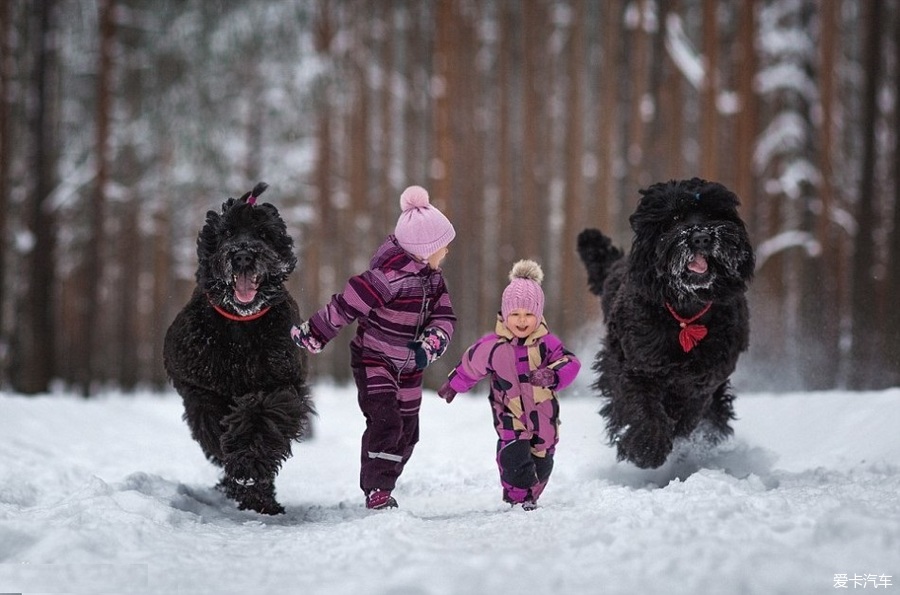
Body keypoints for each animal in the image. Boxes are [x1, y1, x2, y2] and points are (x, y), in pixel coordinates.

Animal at [163, 184, 314, 516]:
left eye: (263, 233)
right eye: (226, 233)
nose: (243, 255)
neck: (239, 326)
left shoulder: (281, 383)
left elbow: (261, 414)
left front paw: (249, 463)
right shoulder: (198, 387)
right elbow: (214, 426)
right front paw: (241, 473)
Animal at [576, 177, 752, 470]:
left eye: (712, 214)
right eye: (674, 218)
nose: (701, 237)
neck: (685, 312)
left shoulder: (707, 376)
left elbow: (692, 405)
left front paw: (674, 434)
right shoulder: (634, 366)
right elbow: (641, 405)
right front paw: (647, 447)